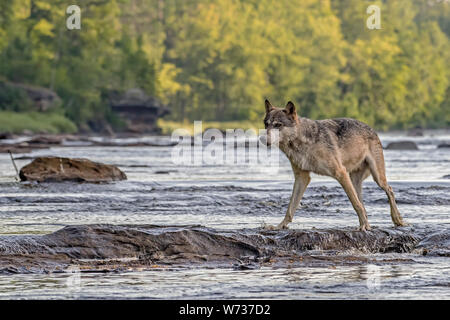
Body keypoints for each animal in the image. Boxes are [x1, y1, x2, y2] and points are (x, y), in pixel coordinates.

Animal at [264, 99, 408, 231]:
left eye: (278, 125)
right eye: (266, 124)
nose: (264, 140)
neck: (304, 143)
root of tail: (371, 128)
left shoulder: (340, 173)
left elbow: (355, 204)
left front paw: (364, 227)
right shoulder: (302, 178)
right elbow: (290, 208)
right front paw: (280, 226)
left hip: (377, 178)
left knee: (389, 190)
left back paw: (397, 219)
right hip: (355, 182)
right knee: (363, 203)